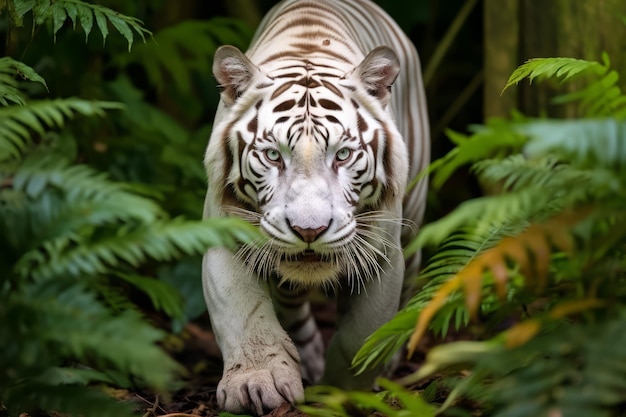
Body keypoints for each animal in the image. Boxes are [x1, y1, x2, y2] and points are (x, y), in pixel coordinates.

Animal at [202, 0, 426, 412]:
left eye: (343, 155)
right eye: (273, 155)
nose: (309, 231)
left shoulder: (382, 255)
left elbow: (360, 337)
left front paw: (342, 393)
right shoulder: (225, 237)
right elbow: (243, 314)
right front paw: (256, 383)